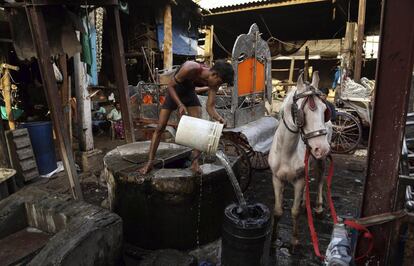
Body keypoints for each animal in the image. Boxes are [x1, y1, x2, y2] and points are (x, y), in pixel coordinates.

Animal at [268, 71, 334, 246]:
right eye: (300, 113)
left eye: (325, 110)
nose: (322, 148)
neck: (286, 152)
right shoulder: (276, 178)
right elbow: (277, 210)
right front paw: (274, 237)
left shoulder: (298, 180)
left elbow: (295, 211)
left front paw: (294, 239)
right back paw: (306, 202)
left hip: (320, 160)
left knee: (319, 178)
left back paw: (318, 207)